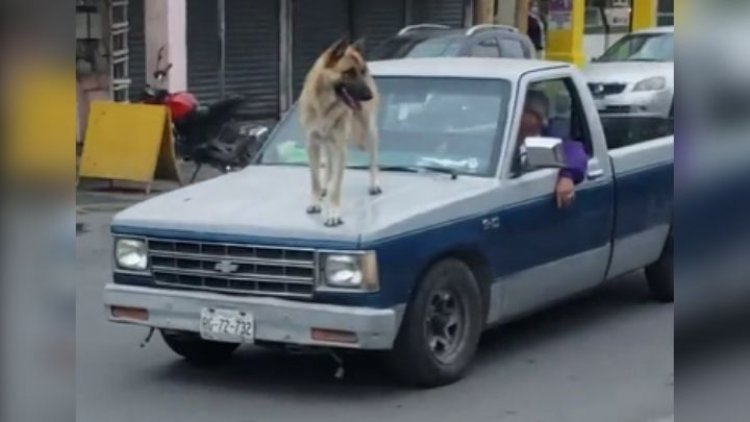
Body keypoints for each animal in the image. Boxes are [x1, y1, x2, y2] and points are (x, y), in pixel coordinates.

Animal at [300, 36, 382, 227]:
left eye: (362, 71)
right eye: (349, 72)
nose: (369, 96)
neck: (324, 105)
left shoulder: (340, 148)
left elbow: (336, 186)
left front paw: (333, 214)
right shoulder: (312, 144)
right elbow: (315, 179)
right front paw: (315, 201)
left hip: (368, 132)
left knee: (373, 157)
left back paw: (374, 183)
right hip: (327, 142)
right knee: (328, 166)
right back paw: (325, 185)